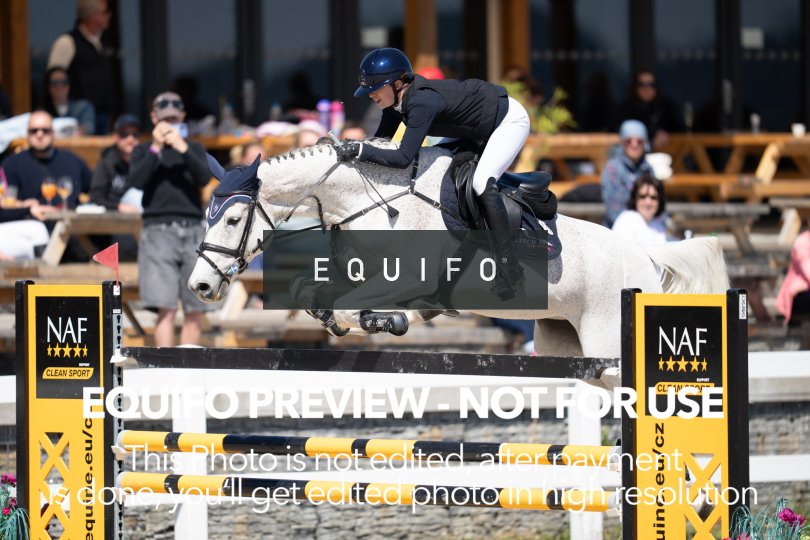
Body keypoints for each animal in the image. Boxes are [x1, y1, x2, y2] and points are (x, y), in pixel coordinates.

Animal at [188, 139, 729, 360]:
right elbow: (310, 289)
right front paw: (350, 317)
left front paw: (387, 320)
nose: (200, 286)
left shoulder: (407, 277)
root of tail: (647, 258)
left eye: (233, 219)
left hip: (608, 340)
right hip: (567, 340)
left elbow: (352, 304)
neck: (368, 199)